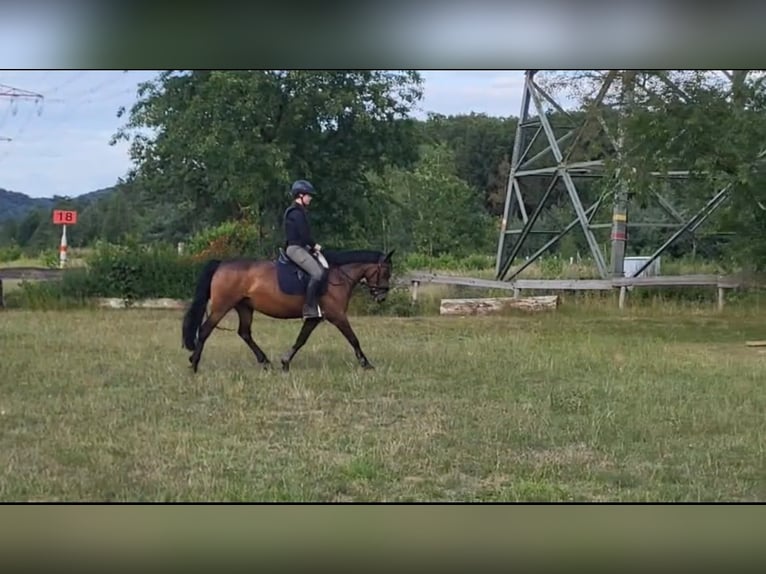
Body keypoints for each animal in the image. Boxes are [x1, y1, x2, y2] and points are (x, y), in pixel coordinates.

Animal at [181, 248, 395, 373]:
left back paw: (265, 362)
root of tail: (222, 264)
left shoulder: (314, 318)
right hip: (222, 306)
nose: (381, 297)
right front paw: (366, 364)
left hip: (244, 307)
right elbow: (353, 339)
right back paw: (194, 364)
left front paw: (285, 362)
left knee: (244, 333)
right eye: (386, 271)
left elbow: (301, 339)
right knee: (206, 330)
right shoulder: (337, 316)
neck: (338, 276)